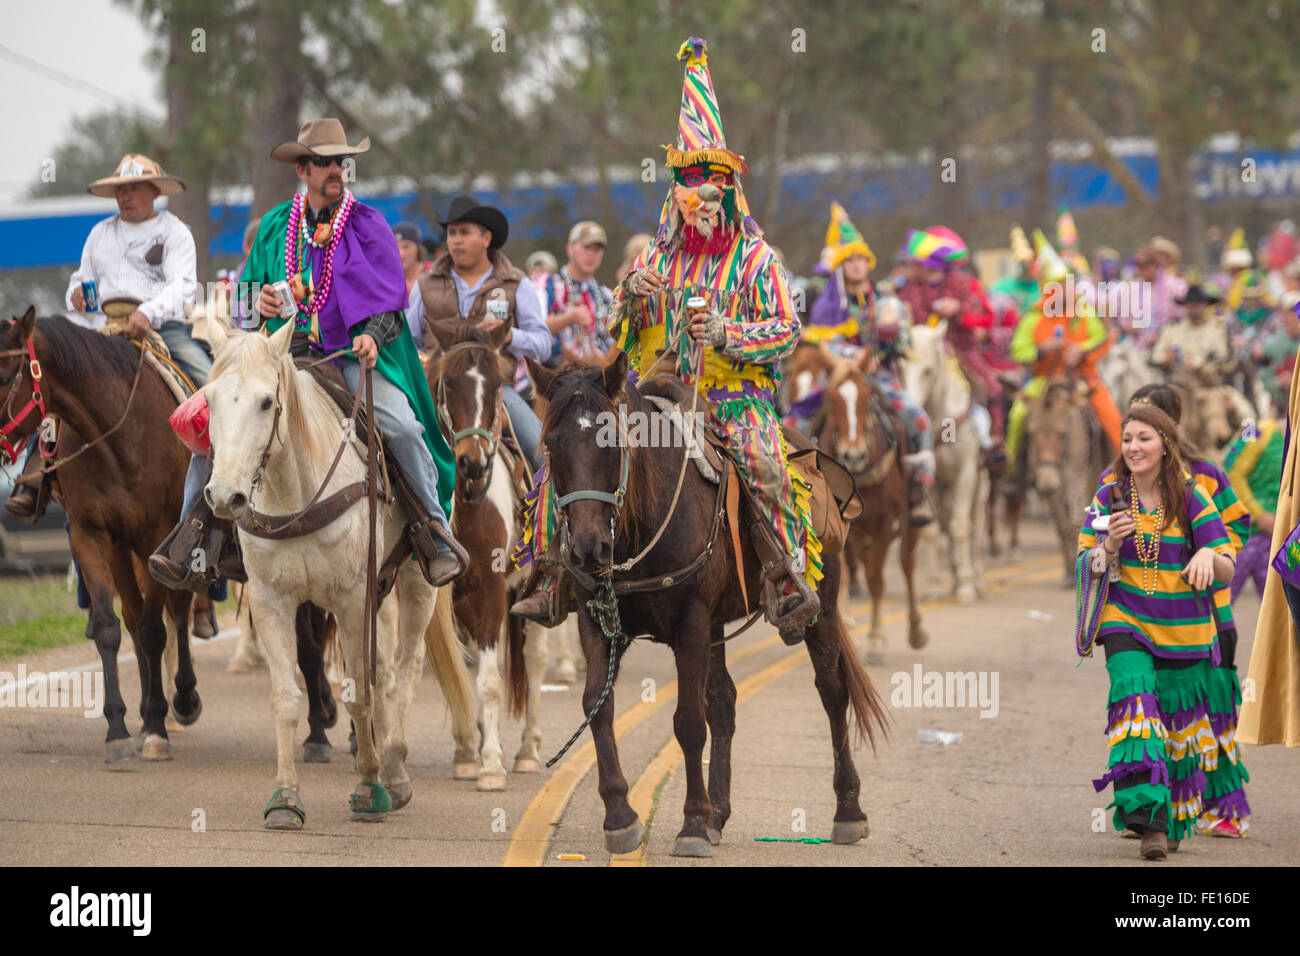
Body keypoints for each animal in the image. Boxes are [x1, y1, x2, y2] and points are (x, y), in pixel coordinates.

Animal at [0, 312, 197, 764]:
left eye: (3, 375)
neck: (117, 438)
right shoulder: (90, 536)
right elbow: (110, 627)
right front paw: (120, 729)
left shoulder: (160, 538)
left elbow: (155, 630)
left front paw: (157, 728)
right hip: (123, 551)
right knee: (135, 615)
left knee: (177, 612)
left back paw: (182, 701)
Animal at [198, 321, 473, 832]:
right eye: (208, 400)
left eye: (266, 402)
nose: (225, 496)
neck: (296, 491)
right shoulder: (271, 601)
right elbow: (287, 699)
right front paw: (285, 798)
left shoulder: (349, 600)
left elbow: (357, 693)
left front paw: (370, 787)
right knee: (384, 669)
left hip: (414, 580)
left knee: (406, 665)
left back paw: (394, 769)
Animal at [530, 353, 894, 858]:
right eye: (550, 444)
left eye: (612, 442)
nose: (587, 548)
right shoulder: (597, 621)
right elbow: (597, 707)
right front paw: (622, 817)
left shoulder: (691, 623)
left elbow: (688, 722)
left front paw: (692, 825)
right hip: (718, 626)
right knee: (725, 702)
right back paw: (720, 812)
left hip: (821, 606)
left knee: (832, 691)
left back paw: (849, 811)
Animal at [811, 353, 925, 665]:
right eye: (831, 399)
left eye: (866, 398)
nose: (854, 454)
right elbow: (841, 578)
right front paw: (848, 630)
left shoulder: (884, 527)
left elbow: (876, 581)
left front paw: (875, 640)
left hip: (911, 524)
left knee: (908, 565)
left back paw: (916, 629)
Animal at [904, 321, 982, 606]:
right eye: (900, 364)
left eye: (928, 370)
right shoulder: (928, 478)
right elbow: (932, 531)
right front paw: (934, 587)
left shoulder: (966, 473)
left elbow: (961, 527)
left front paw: (967, 588)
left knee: (974, 524)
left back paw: (973, 576)